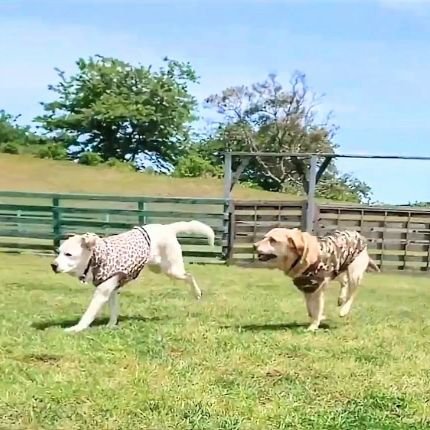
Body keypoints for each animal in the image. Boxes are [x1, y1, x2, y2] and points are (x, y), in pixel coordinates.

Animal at [51, 222, 214, 332]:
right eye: (59, 252)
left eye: (68, 254)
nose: (53, 265)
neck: (96, 258)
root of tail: (166, 227)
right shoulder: (112, 289)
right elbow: (114, 311)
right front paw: (111, 326)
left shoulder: (101, 293)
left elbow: (88, 314)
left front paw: (76, 328)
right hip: (158, 268)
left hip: (172, 269)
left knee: (189, 276)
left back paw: (197, 293)